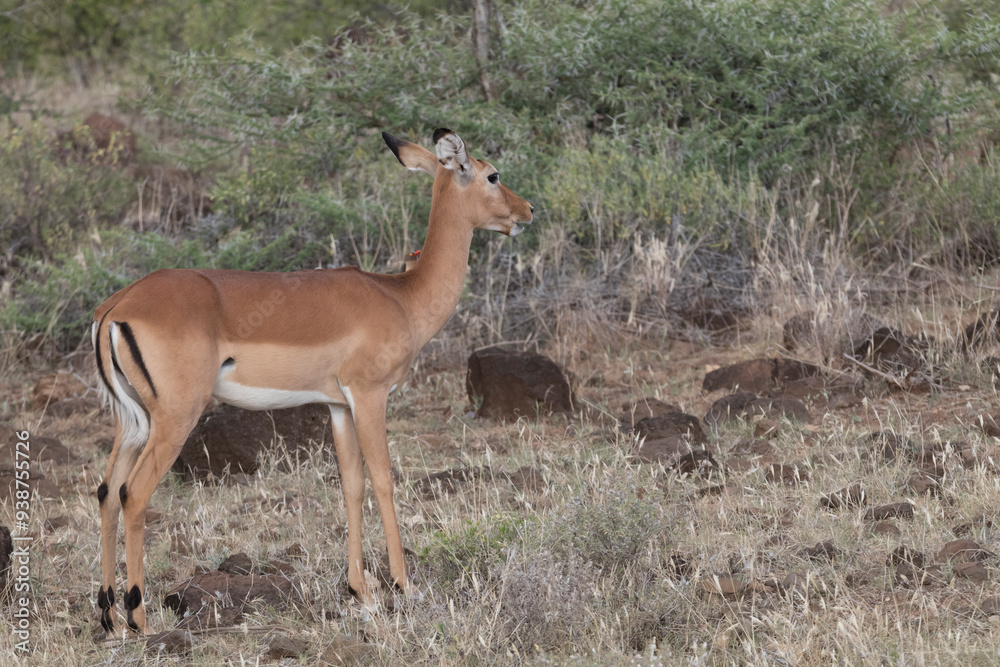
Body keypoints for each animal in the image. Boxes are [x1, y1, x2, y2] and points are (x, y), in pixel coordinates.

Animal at [91, 128, 534, 635]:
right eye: (491, 174)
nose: (527, 211)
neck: (401, 297)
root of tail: (117, 307)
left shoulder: (338, 405)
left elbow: (351, 485)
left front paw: (362, 593)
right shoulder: (370, 395)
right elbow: (383, 479)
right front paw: (404, 586)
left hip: (133, 422)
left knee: (107, 492)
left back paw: (109, 617)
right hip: (174, 418)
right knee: (134, 494)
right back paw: (140, 619)